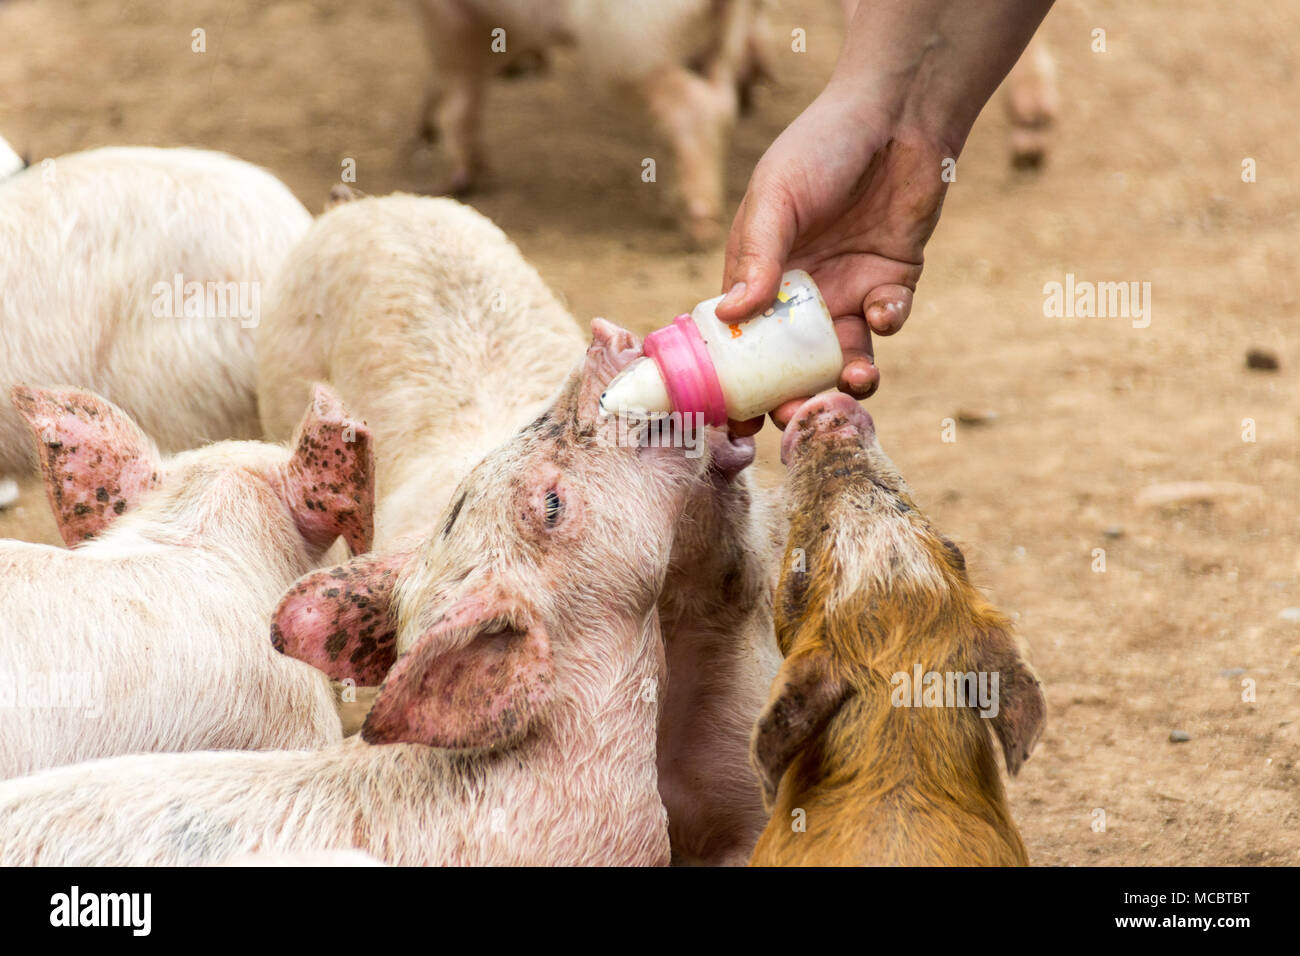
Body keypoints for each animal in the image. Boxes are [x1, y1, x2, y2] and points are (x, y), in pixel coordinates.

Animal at [408, 0, 757, 244]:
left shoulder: (447, 16)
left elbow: (459, 87)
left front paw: (449, 183)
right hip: (718, 39)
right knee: (721, 101)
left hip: (631, 44)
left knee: (694, 106)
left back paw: (697, 227)